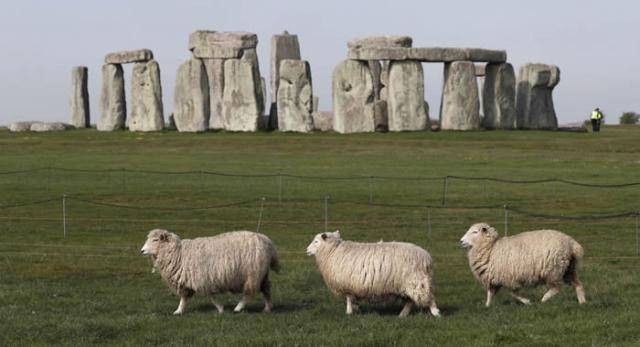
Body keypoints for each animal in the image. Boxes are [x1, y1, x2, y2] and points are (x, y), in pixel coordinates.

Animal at [140, 230, 280, 316]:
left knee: (248, 293)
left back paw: (238, 308)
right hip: (262, 274)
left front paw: (220, 308)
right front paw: (178, 311)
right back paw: (268, 308)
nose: (141, 251)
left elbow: (211, 296)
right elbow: (184, 298)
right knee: (266, 289)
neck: (178, 253)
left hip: (252, 274)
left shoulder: (203, 278)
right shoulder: (187, 280)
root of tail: (268, 242)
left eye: (155, 240)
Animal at [304, 231, 440, 318]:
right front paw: (356, 308)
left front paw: (349, 312)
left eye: (316, 241)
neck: (333, 251)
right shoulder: (352, 286)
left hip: (416, 280)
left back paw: (436, 313)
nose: (307, 250)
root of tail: (426, 257)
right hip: (406, 284)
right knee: (410, 301)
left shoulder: (347, 284)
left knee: (428, 297)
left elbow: (348, 299)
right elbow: (352, 299)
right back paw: (402, 315)